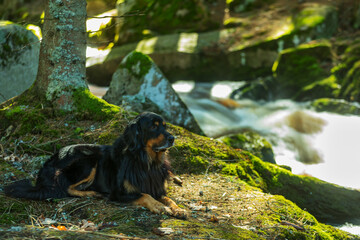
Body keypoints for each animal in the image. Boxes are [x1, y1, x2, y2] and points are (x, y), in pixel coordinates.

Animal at [4, 111, 187, 218]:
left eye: (165, 126)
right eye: (153, 127)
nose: (172, 138)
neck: (146, 161)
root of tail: (49, 160)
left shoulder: (156, 188)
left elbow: (168, 198)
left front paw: (178, 209)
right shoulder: (118, 193)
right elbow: (145, 195)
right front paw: (160, 207)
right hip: (88, 160)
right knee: (65, 189)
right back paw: (92, 193)